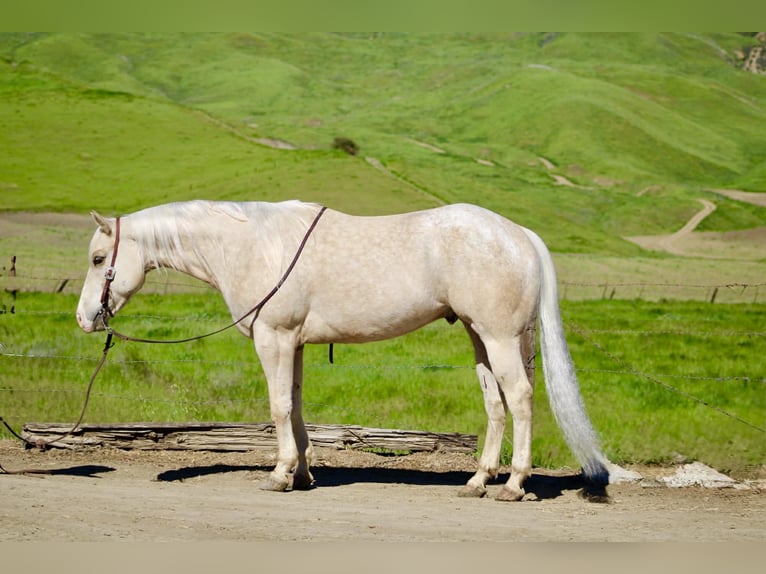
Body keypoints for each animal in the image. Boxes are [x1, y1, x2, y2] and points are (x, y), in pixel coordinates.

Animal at [76, 199, 610, 501]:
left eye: (99, 259)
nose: (85, 318)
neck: (252, 244)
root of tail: (520, 234)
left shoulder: (274, 338)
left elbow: (278, 407)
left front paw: (279, 475)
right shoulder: (292, 343)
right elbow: (295, 407)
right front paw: (303, 474)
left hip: (498, 338)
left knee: (519, 399)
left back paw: (515, 485)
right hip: (481, 338)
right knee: (496, 405)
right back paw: (479, 481)